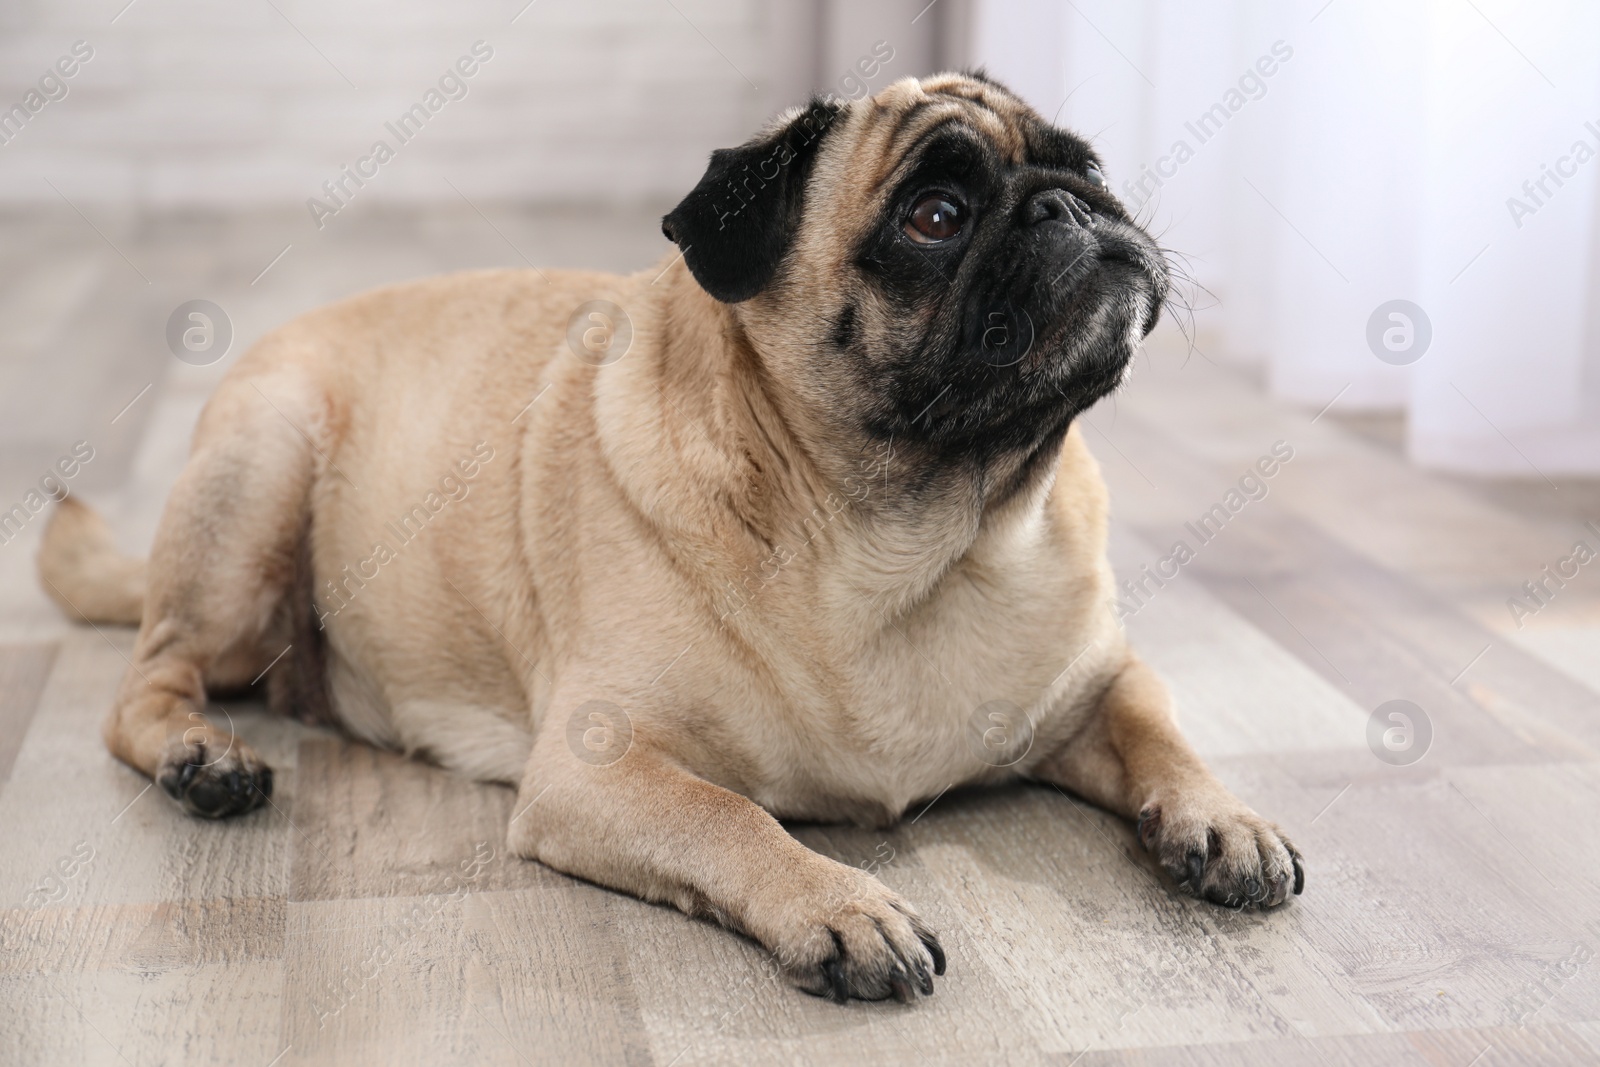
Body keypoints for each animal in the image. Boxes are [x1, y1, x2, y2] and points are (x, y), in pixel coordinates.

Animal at [40, 73, 1299, 1004]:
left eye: (1087, 168)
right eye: (934, 218)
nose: (1068, 206)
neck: (928, 533)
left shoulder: (1095, 682)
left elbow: (1158, 724)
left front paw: (1223, 816)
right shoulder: (596, 767)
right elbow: (727, 812)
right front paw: (840, 903)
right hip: (257, 481)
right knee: (147, 679)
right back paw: (199, 756)